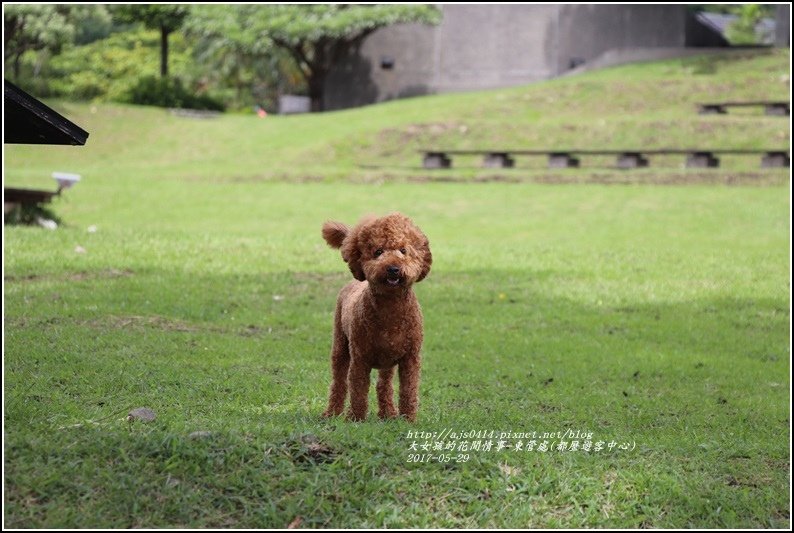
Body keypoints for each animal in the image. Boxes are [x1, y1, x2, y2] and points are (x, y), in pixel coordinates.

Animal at [318, 212, 430, 420]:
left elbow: (409, 390)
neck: (391, 308)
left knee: (383, 384)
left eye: (403, 250)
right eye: (378, 252)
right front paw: (356, 418)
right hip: (340, 345)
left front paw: (408, 419)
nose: (393, 268)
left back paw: (388, 413)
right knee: (339, 381)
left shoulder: (410, 358)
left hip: (388, 360)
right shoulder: (360, 358)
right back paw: (332, 412)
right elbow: (358, 388)